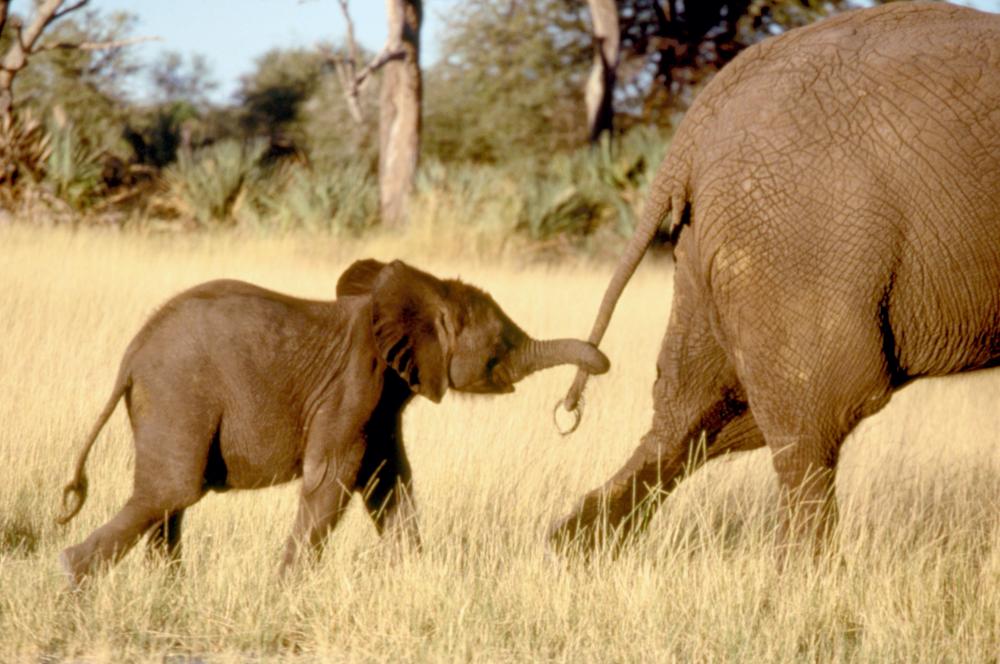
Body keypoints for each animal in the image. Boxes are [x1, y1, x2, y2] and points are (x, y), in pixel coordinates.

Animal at [56, 259, 609, 586]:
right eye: (502, 348)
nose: (572, 404)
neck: (414, 293)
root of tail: (130, 356)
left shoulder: (384, 396)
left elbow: (389, 481)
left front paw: (413, 579)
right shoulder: (354, 383)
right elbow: (333, 480)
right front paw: (285, 590)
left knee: (169, 497)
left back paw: (168, 589)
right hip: (179, 391)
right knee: (173, 490)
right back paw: (72, 576)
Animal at [549, 3, 1000, 561]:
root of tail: (692, 133)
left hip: (719, 246)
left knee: (697, 406)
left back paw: (574, 546)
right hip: (798, 237)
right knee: (812, 416)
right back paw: (808, 573)